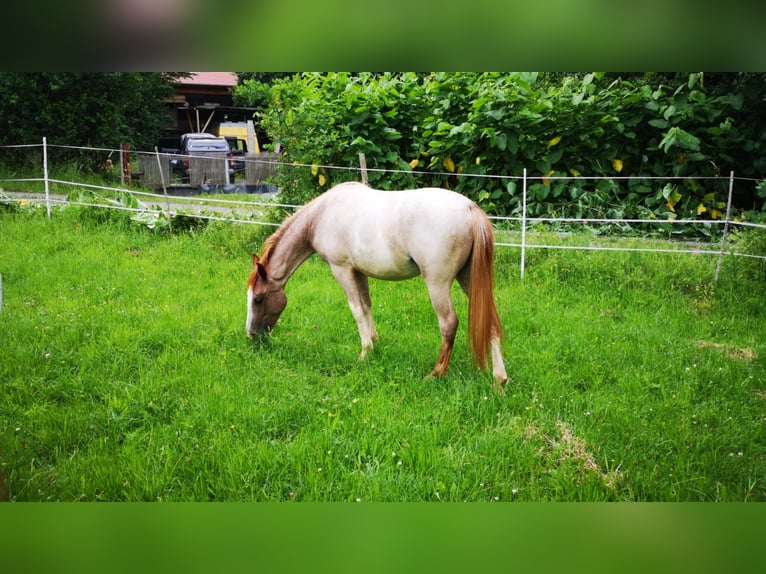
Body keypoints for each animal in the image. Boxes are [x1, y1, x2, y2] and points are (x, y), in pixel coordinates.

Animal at [248, 184, 510, 392]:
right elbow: (366, 306)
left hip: (437, 284)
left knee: (448, 324)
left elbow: (356, 309)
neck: (321, 216)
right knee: (491, 323)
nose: (252, 335)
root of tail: (470, 209)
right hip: (468, 279)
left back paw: (436, 373)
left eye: (258, 298)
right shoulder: (359, 272)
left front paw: (365, 353)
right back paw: (499, 380)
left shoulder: (342, 270)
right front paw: (375, 342)